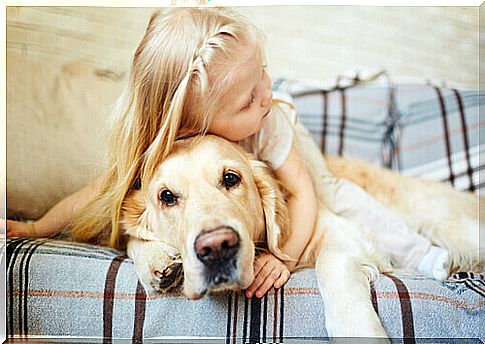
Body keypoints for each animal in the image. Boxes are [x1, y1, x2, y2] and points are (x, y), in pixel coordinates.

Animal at [120, 133, 480, 338]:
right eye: (167, 196)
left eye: (231, 178)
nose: (217, 248)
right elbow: (130, 238)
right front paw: (158, 262)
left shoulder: (342, 231)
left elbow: (330, 264)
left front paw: (358, 330)